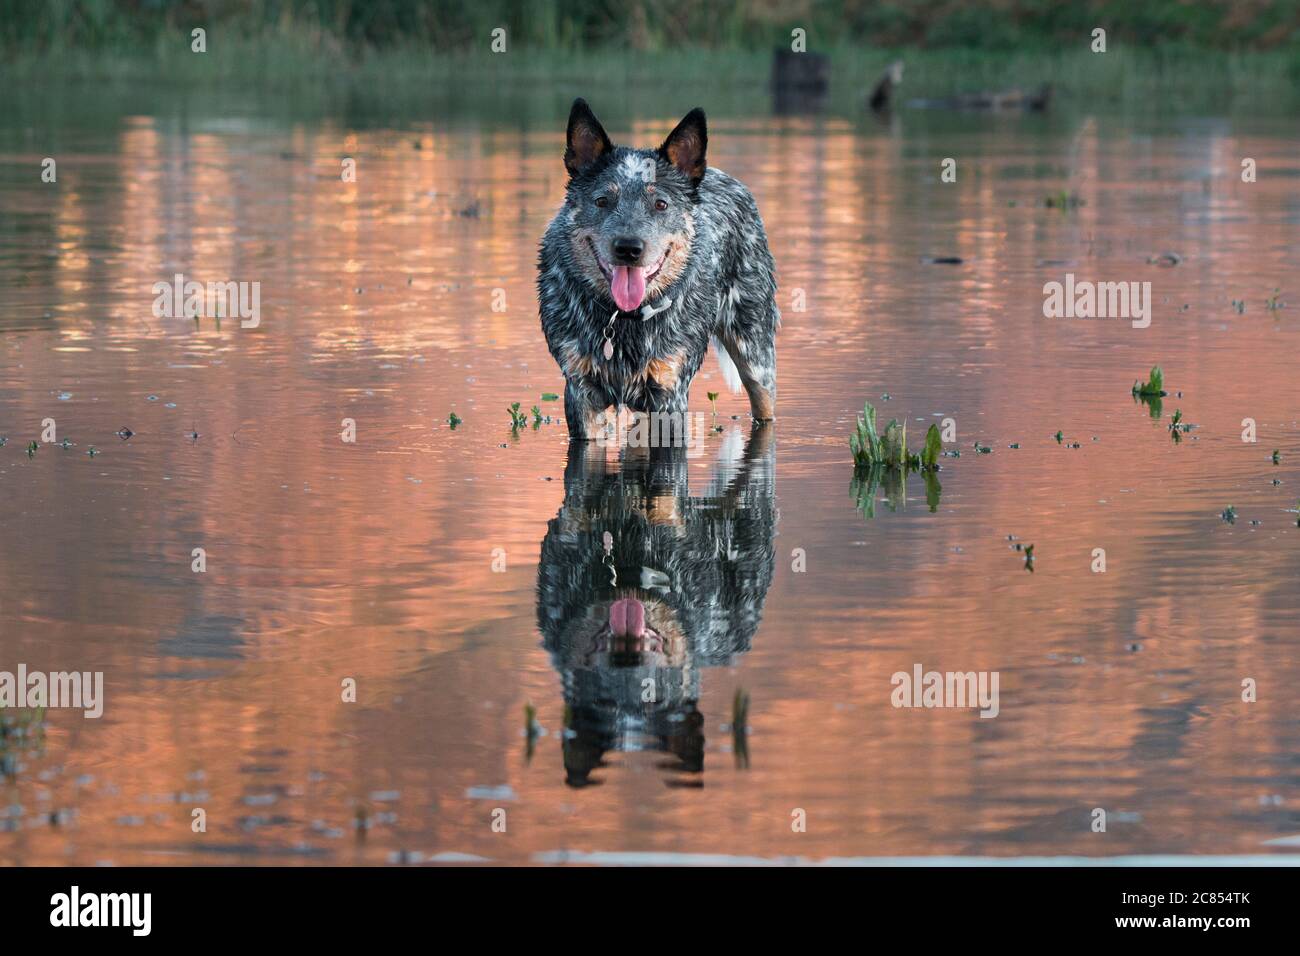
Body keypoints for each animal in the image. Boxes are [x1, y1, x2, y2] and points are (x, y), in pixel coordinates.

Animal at [535, 97, 774, 442]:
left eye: (660, 204)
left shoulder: (669, 392)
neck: (623, 320)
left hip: (756, 353)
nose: (628, 247)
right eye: (602, 200)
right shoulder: (580, 391)